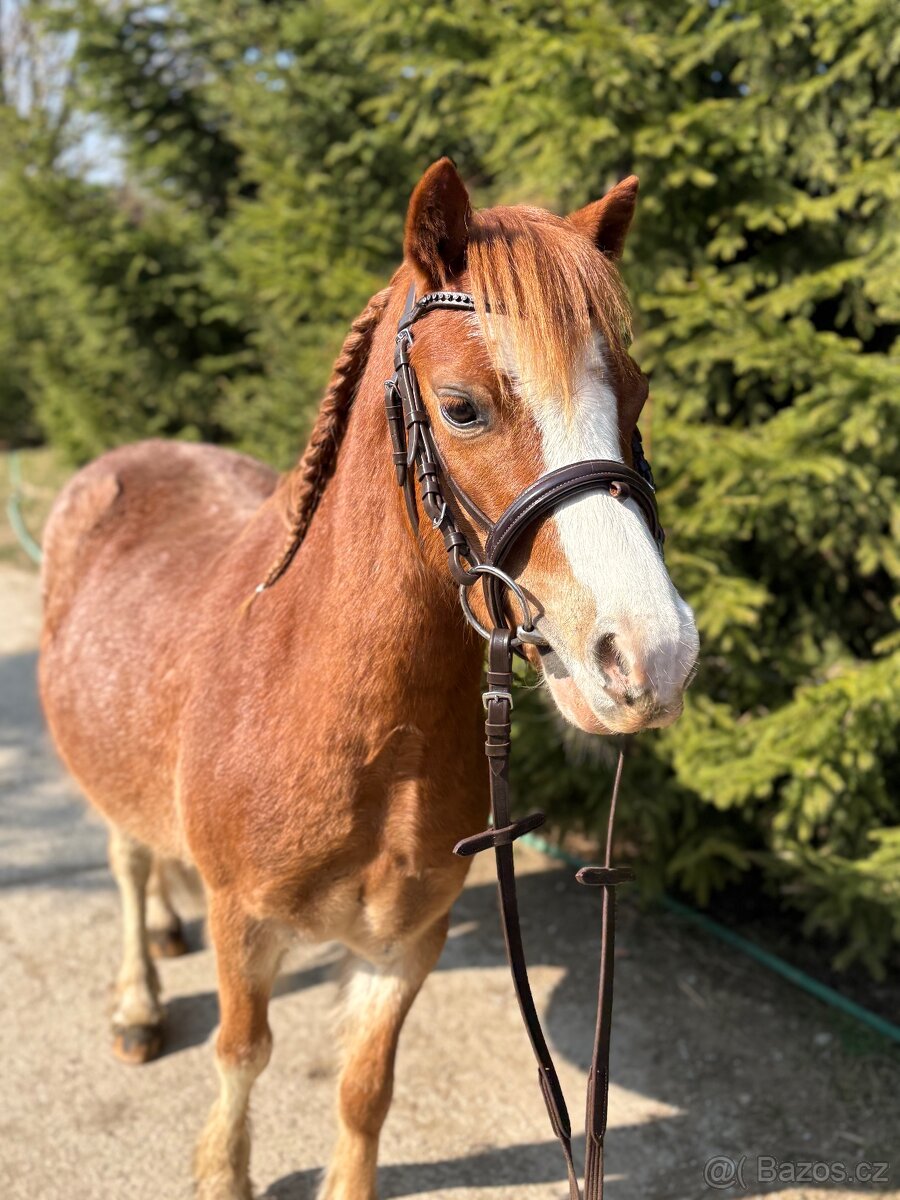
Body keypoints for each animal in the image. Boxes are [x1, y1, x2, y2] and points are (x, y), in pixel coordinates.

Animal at [38, 158, 699, 1200]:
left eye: (634, 395)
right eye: (463, 405)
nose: (652, 654)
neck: (356, 729)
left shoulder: (408, 939)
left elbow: (364, 1087)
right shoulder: (245, 926)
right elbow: (242, 1055)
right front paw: (222, 1170)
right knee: (129, 861)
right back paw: (138, 998)